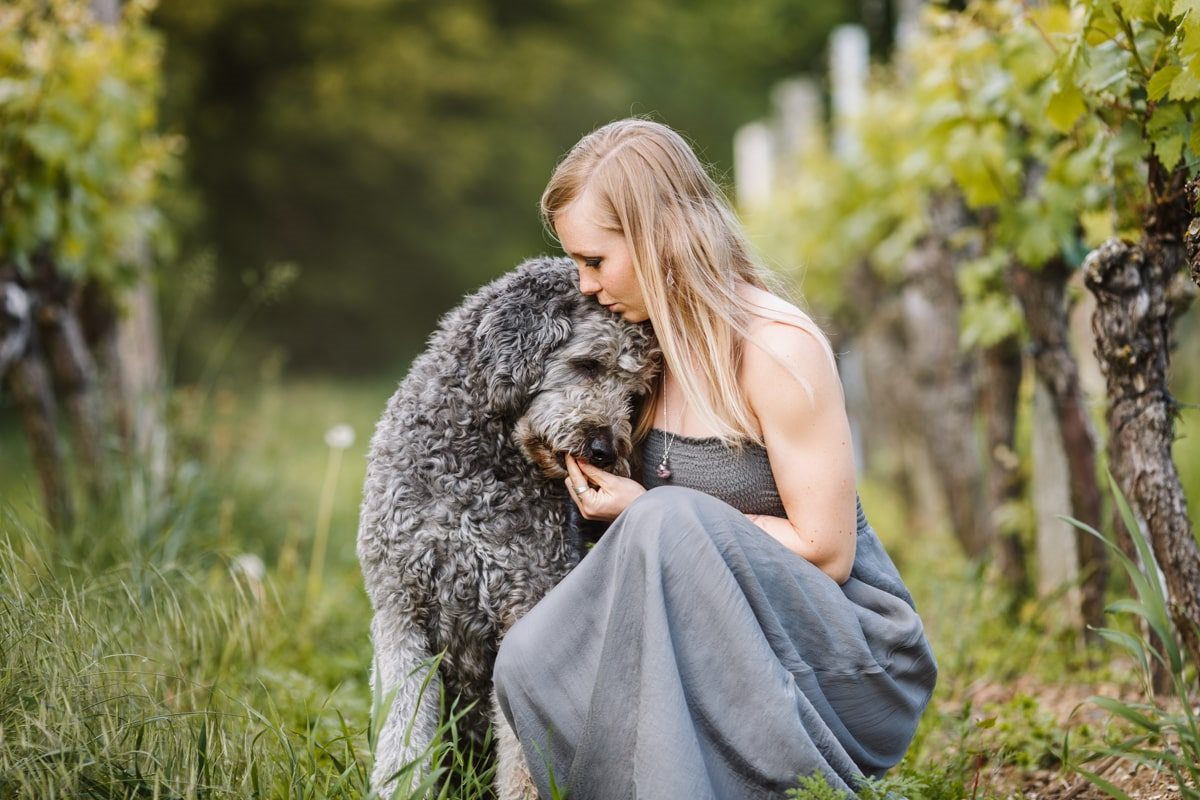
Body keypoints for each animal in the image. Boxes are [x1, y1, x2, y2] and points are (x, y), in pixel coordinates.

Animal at [357, 256, 657, 796]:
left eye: (635, 395)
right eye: (588, 364)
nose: (606, 450)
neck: (475, 468)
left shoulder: (525, 605)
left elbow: (523, 756)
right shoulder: (400, 613)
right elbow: (401, 740)